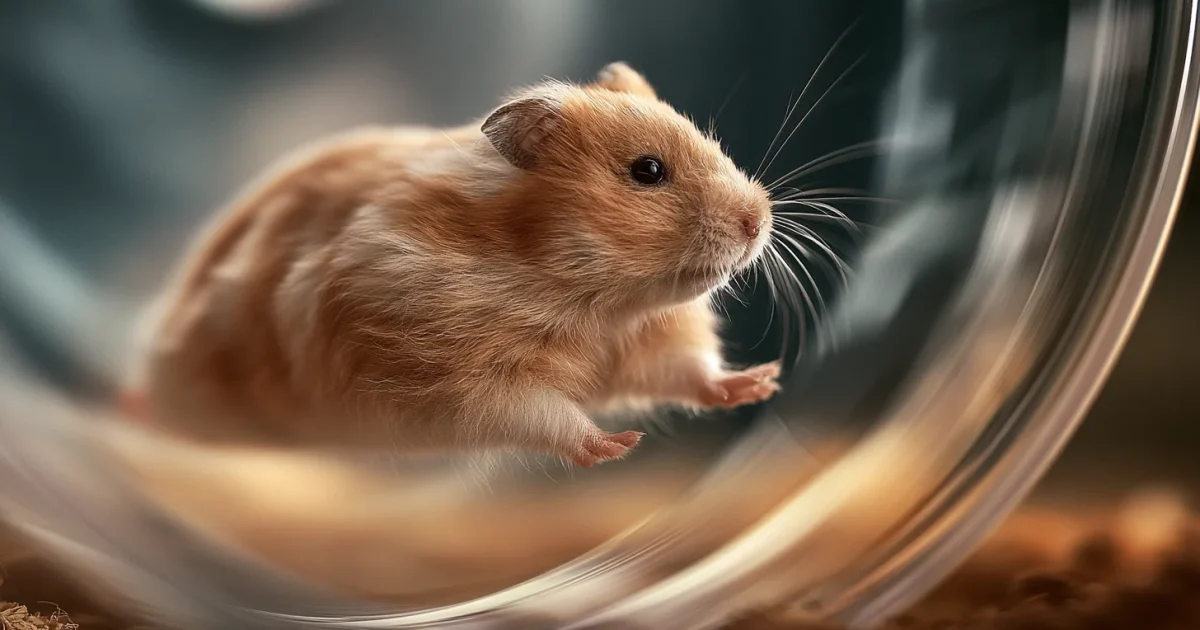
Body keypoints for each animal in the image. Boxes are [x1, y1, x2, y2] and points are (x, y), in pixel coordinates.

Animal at [124, 62, 779, 467]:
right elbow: (541, 414)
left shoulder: (652, 338)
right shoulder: (461, 380)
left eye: (711, 141)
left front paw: (758, 383)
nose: (758, 221)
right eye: (647, 171)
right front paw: (617, 445)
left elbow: (689, 372)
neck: (591, 298)